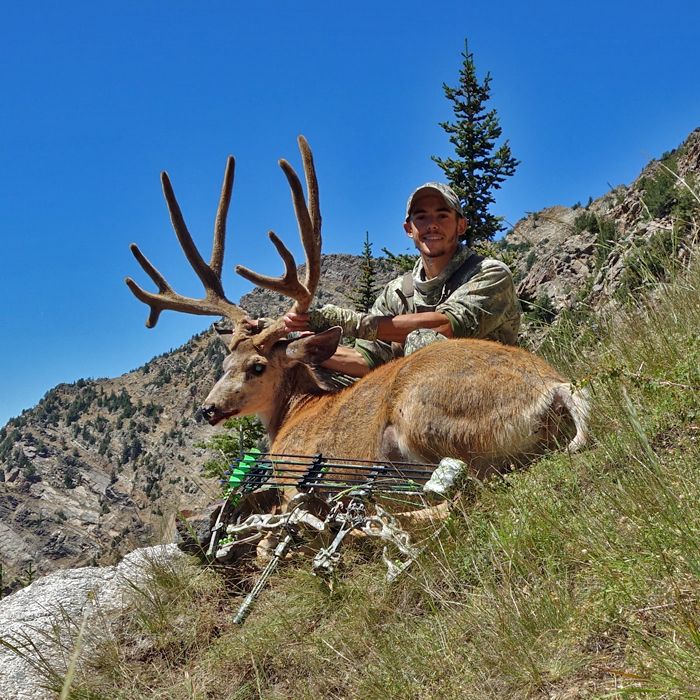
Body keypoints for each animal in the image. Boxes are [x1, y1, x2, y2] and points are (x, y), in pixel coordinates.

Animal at [125, 136, 589, 506]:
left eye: (257, 367)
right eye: (223, 365)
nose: (208, 409)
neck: (293, 415)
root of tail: (556, 388)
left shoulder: (292, 479)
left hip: (427, 416)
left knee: (468, 489)